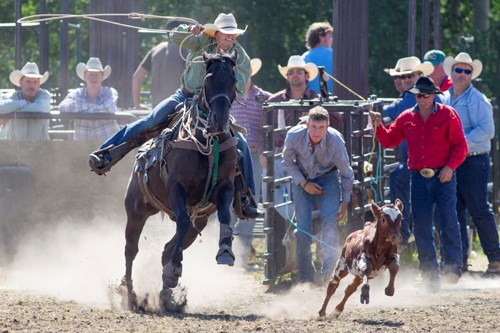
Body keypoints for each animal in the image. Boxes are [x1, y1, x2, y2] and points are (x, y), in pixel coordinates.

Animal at [120, 50, 238, 310]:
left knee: (168, 248)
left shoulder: (225, 186)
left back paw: (166, 296)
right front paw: (174, 270)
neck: (207, 140)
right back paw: (130, 295)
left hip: (199, 223)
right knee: (131, 250)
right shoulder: (177, 188)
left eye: (234, 80)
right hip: (136, 210)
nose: (219, 120)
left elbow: (225, 215)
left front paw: (225, 251)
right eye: (208, 80)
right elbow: (182, 222)